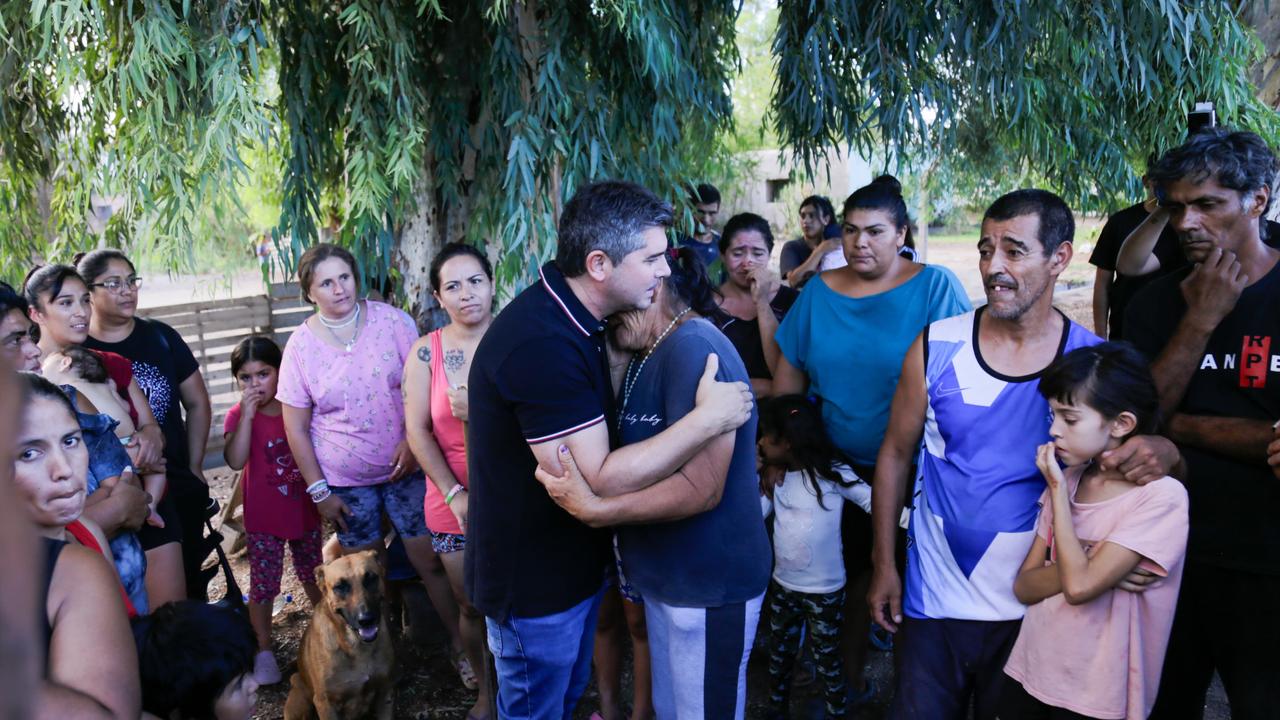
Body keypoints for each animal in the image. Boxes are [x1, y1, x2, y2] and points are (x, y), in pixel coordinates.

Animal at [285, 545, 394, 712]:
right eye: (340, 587)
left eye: (371, 578)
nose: (366, 620)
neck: (356, 647)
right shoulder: (325, 704)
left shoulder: (385, 691)